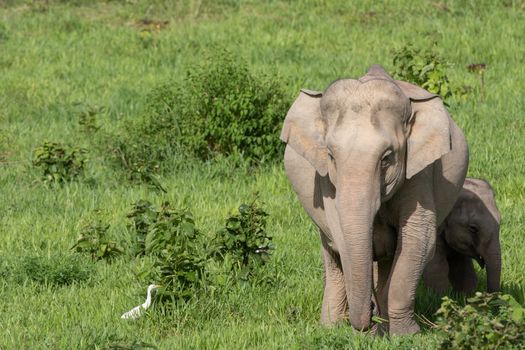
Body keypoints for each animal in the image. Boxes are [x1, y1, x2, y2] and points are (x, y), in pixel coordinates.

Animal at [280, 64, 468, 334]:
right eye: (331, 155)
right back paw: (330, 327)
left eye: (387, 158)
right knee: (332, 256)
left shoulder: (419, 172)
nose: (367, 320)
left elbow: (417, 238)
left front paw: (405, 335)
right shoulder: (325, 180)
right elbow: (341, 235)